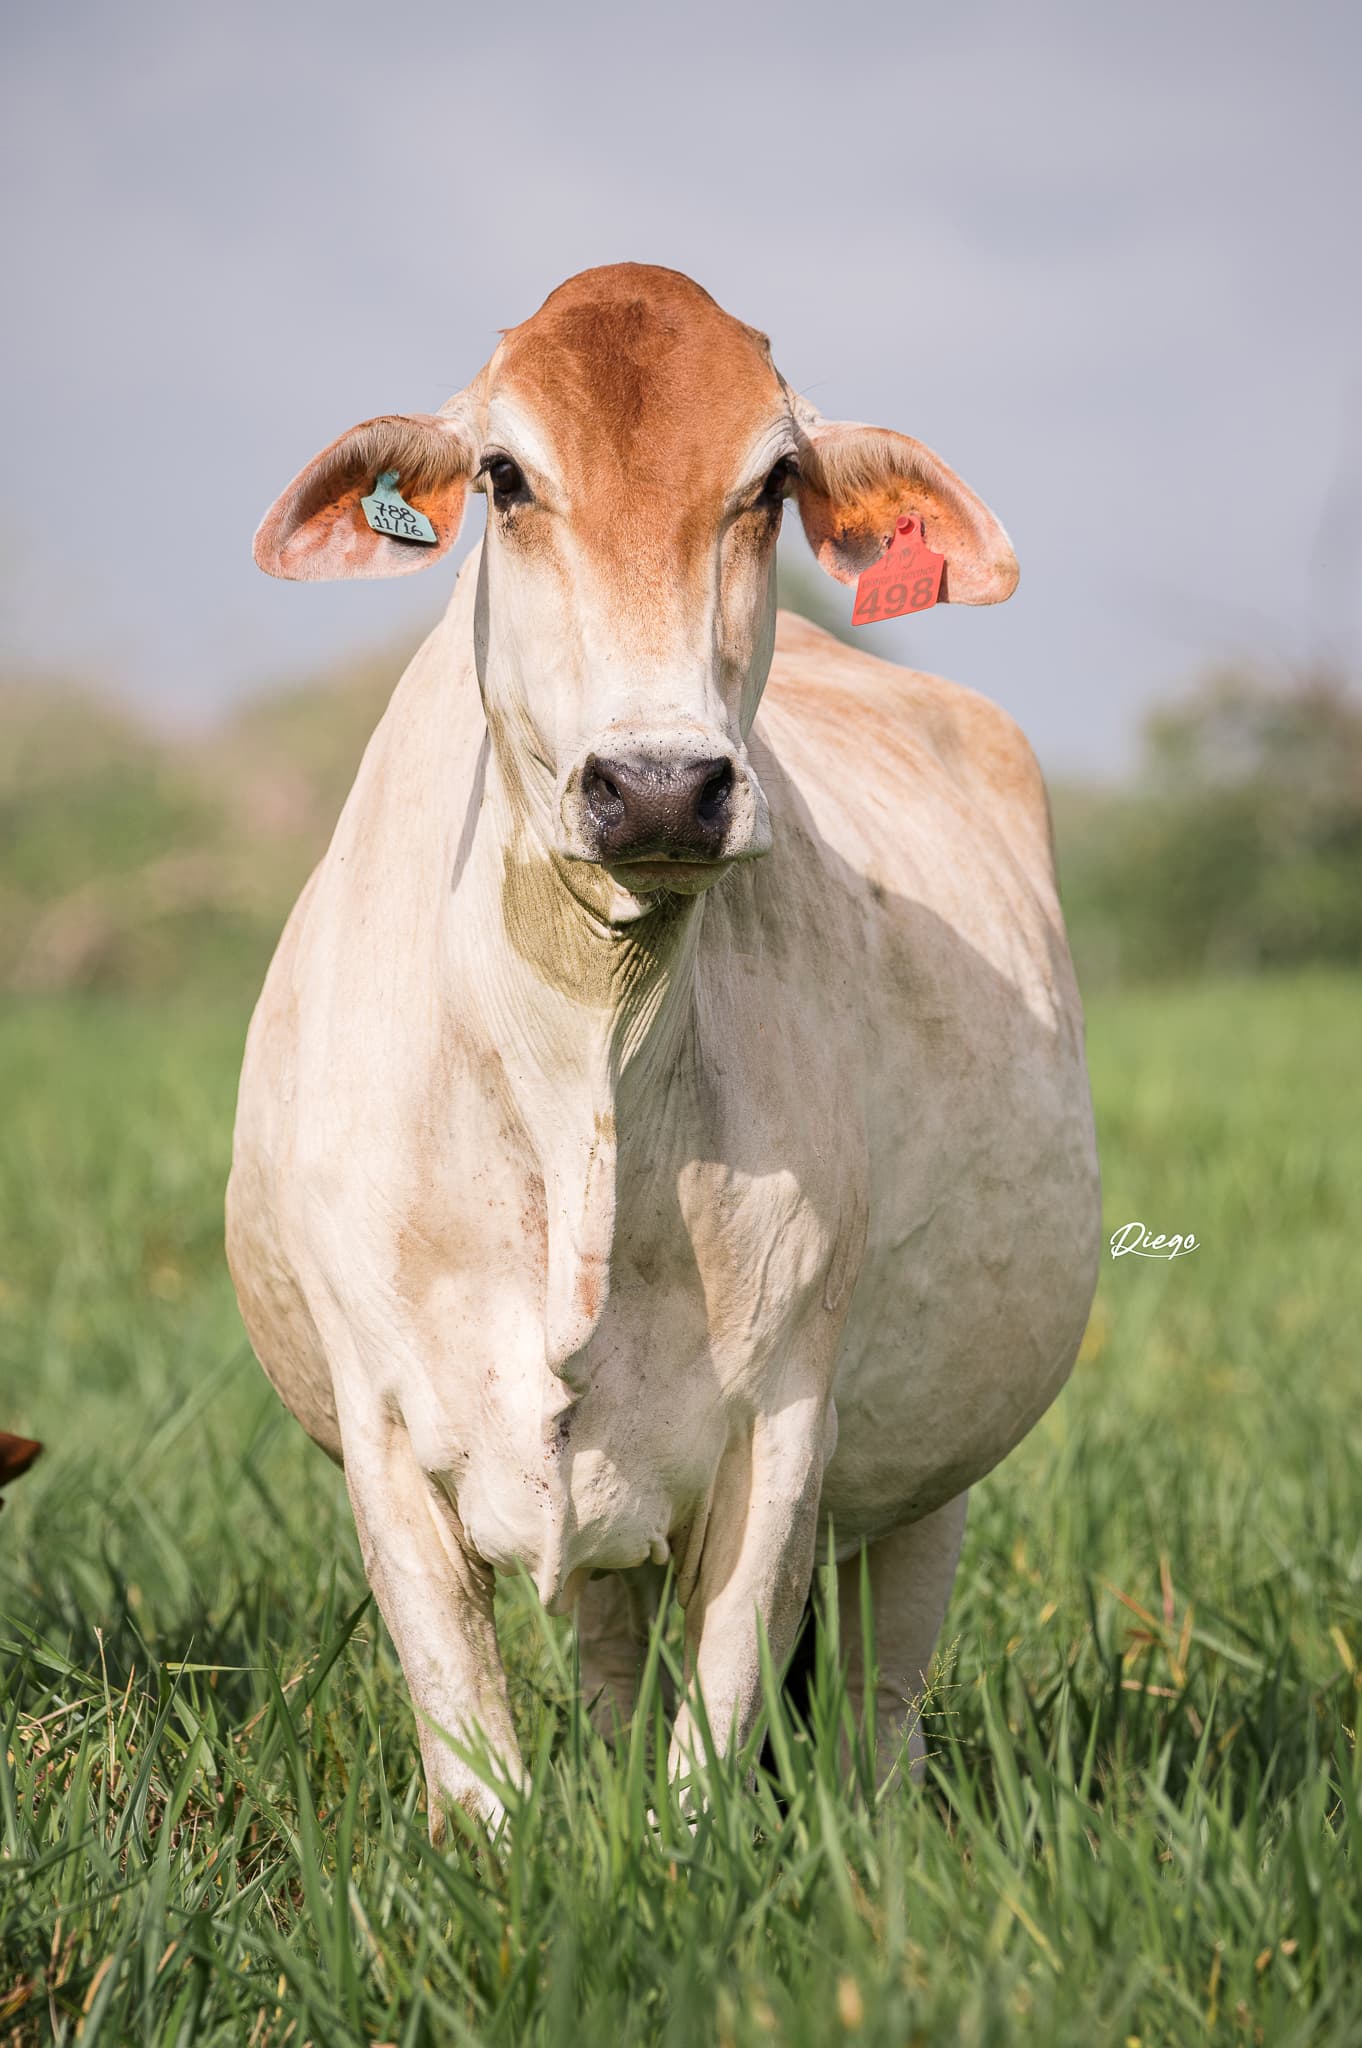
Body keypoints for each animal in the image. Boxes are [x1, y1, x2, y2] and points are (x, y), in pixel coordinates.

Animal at [227, 263, 1100, 1835]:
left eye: (771, 484)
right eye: (505, 476)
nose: (656, 786)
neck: (584, 1066)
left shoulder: (786, 1427)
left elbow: (707, 1764)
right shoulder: (384, 1431)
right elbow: (480, 1769)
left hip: (928, 1481)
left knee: (878, 1699)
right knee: (612, 1663)